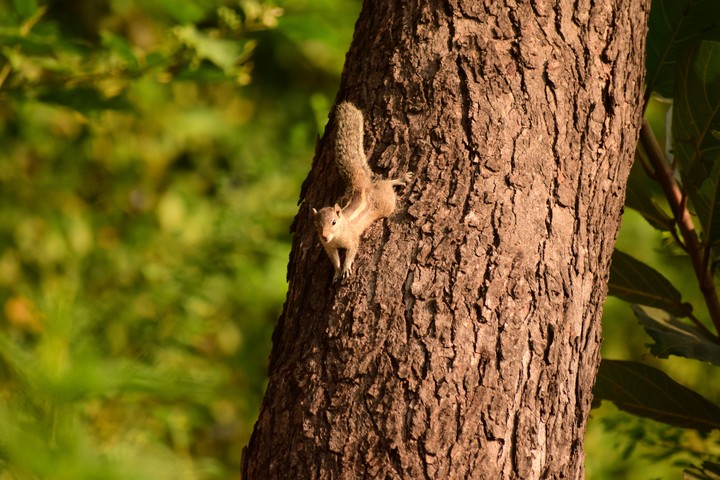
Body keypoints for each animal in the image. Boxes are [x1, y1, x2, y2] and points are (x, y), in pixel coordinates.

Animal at [312, 102, 412, 282]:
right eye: (317, 225)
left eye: (334, 222)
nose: (324, 236)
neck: (337, 235)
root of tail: (361, 185)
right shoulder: (329, 247)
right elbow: (334, 259)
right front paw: (337, 271)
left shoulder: (352, 239)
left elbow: (352, 251)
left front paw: (346, 267)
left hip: (385, 203)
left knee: (386, 185)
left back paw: (399, 179)